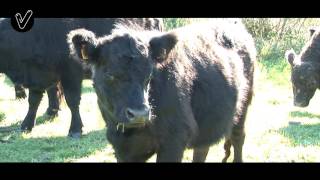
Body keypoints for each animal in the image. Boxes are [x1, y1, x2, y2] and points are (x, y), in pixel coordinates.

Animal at [0, 17, 164, 137]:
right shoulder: (37, 75)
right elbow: (33, 101)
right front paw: (27, 125)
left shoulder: (71, 74)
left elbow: (72, 101)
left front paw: (75, 129)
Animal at [69, 18, 256, 162]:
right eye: (110, 74)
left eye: (149, 74)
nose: (139, 114)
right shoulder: (121, 147)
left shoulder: (174, 139)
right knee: (202, 148)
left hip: (244, 106)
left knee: (238, 138)